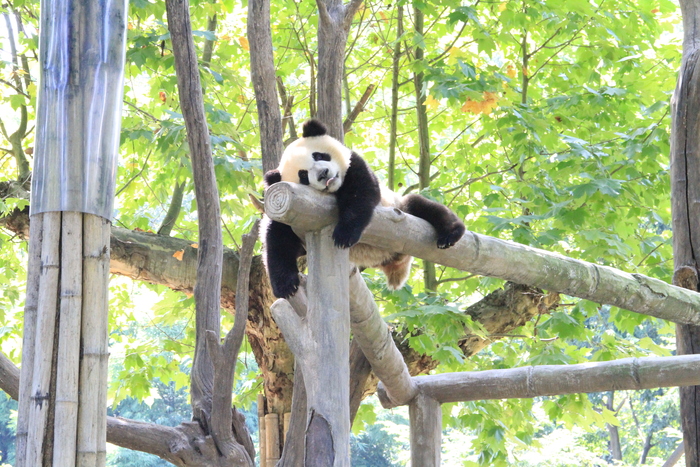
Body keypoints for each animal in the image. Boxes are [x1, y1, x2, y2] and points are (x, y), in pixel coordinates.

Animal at [262, 118, 464, 300]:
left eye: (318, 156)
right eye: (303, 176)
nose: (323, 174)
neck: (335, 189)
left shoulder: (354, 164)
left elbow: (361, 194)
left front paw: (344, 235)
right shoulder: (295, 212)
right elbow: (278, 240)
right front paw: (286, 286)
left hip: (399, 206)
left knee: (421, 206)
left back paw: (451, 234)